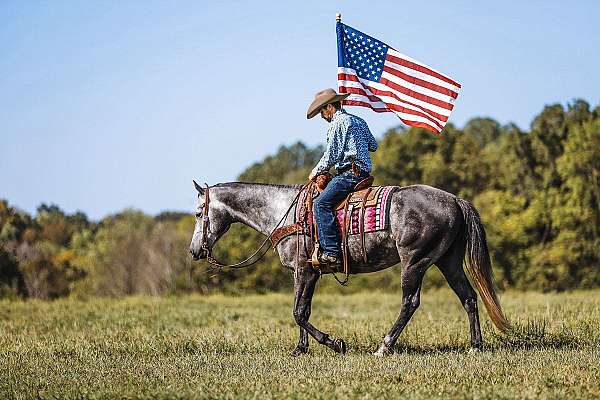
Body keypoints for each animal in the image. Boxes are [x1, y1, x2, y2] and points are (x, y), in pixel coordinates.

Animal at [190, 182, 508, 356]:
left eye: (197, 213)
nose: (194, 251)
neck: (285, 213)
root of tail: (454, 199)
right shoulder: (304, 272)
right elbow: (302, 310)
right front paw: (301, 349)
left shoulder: (304, 271)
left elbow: (298, 312)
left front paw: (334, 343)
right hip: (448, 262)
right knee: (469, 297)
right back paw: (475, 345)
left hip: (414, 262)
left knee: (410, 302)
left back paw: (384, 346)